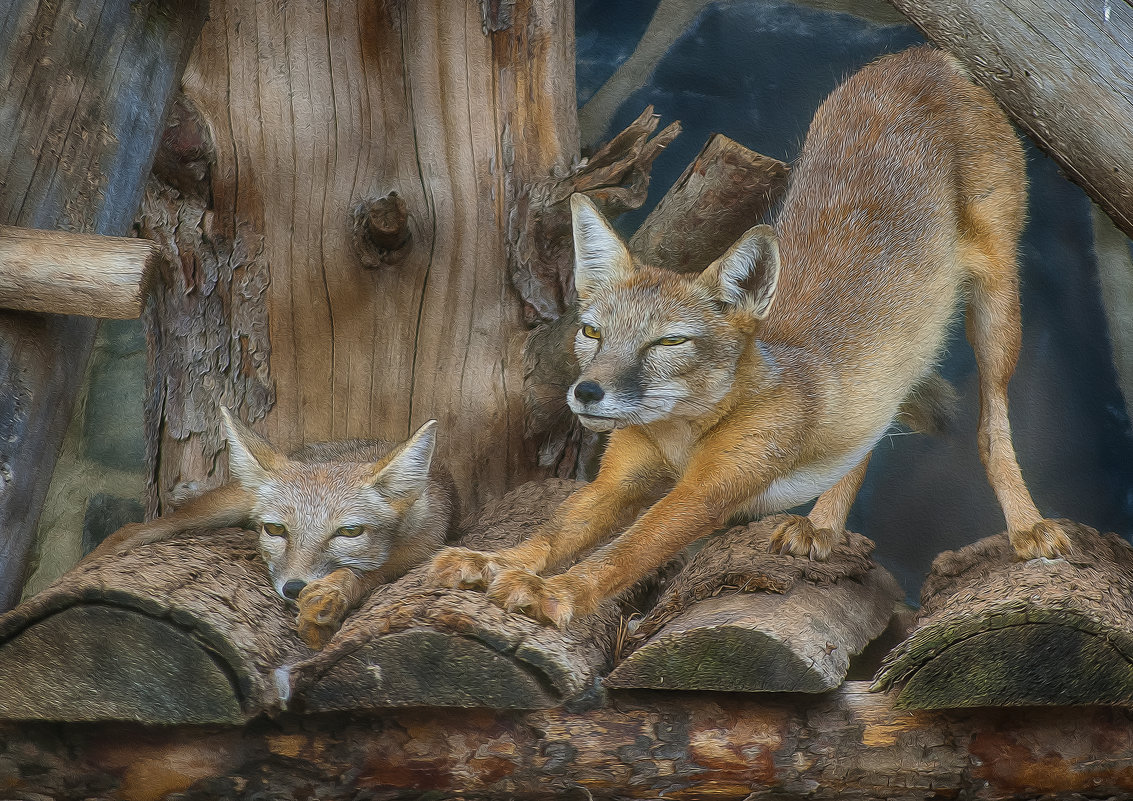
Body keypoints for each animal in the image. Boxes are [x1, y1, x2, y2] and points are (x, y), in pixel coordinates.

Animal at [94, 410, 455, 648]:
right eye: (275, 530)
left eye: (349, 533)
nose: (293, 588)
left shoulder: (418, 551)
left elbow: (364, 574)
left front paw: (328, 599)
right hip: (224, 506)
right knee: (133, 529)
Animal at [428, 47, 1074, 629]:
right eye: (592, 332)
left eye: (668, 344)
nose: (586, 393)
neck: (682, 434)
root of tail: (920, 56)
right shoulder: (619, 481)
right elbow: (553, 532)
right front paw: (492, 561)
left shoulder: (704, 493)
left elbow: (622, 553)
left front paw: (553, 592)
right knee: (870, 433)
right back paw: (823, 525)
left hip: (997, 311)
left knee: (992, 424)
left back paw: (1027, 526)